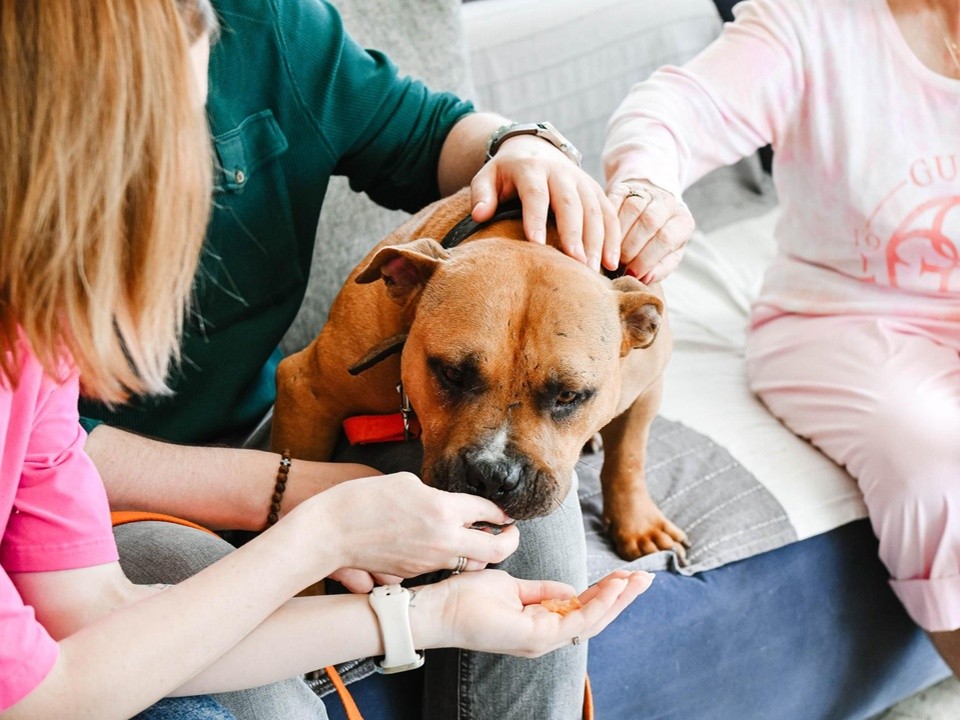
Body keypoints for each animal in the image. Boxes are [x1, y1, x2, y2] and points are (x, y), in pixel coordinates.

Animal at [274, 188, 688, 560]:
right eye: (453, 373)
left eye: (568, 395)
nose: (494, 475)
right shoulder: (306, 391)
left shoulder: (648, 387)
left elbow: (629, 457)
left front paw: (638, 524)